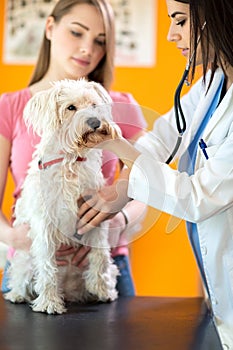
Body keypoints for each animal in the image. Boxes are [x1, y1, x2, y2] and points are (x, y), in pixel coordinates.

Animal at [4, 78, 122, 314]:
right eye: (70, 108)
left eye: (94, 105)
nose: (95, 122)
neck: (71, 162)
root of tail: (69, 291)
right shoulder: (45, 224)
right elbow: (47, 266)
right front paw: (49, 302)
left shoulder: (94, 217)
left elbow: (100, 256)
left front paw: (101, 288)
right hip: (23, 261)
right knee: (21, 278)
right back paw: (18, 295)